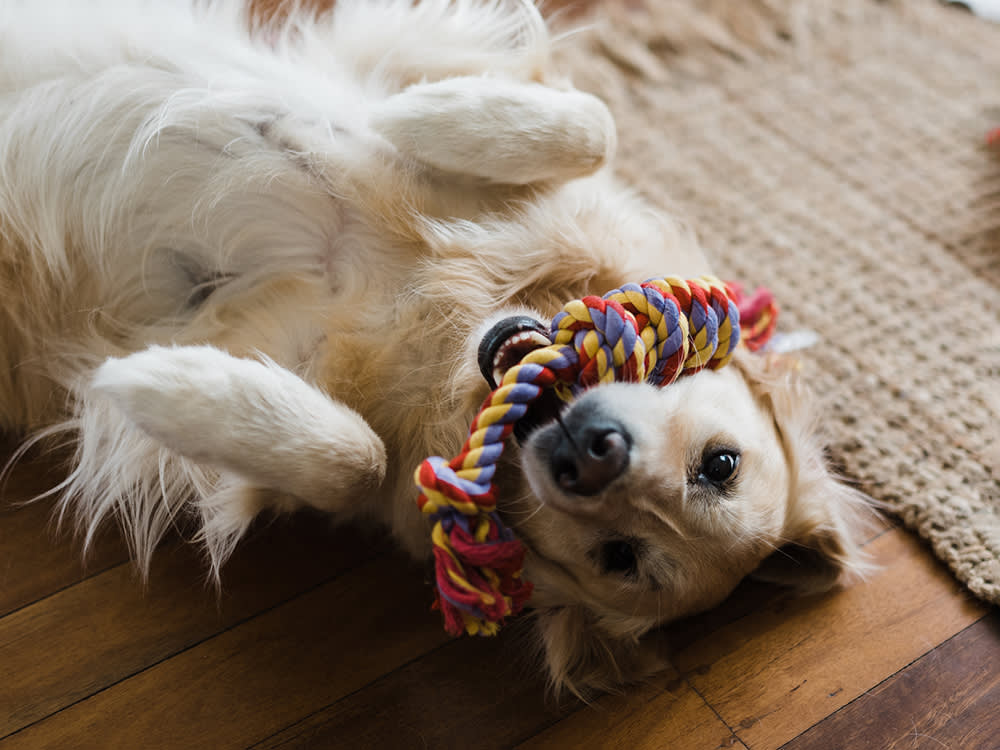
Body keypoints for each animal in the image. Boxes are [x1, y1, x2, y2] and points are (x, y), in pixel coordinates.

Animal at [0, 0, 872, 700]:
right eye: (720, 464)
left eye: (622, 558)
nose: (591, 456)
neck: (459, 319)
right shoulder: (424, 52)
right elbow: (594, 120)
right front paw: (428, 118)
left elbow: (352, 459)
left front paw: (171, 388)